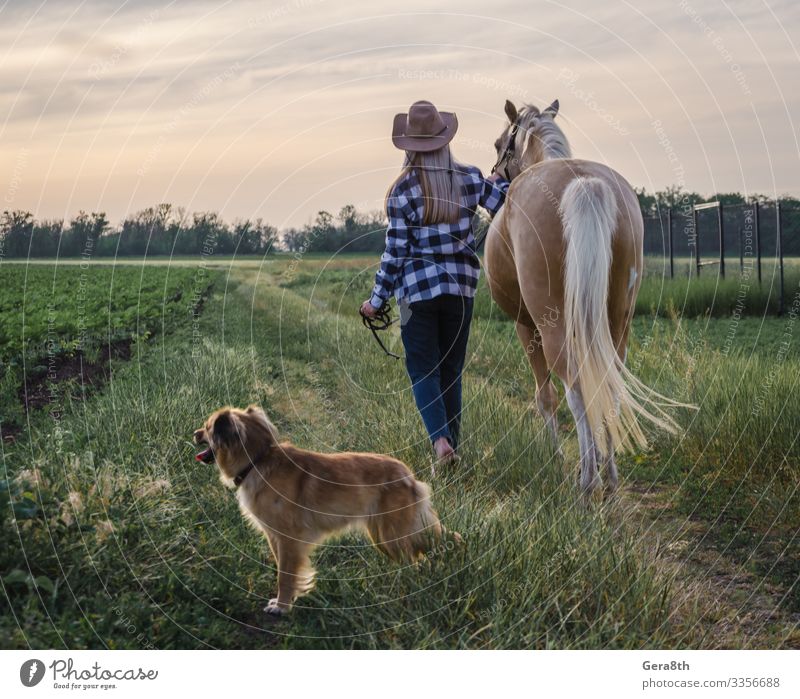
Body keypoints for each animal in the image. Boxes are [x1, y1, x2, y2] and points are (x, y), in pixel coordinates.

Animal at [191, 408, 446, 616]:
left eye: (207, 427)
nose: (194, 433)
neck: (257, 460)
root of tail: (409, 476)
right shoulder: (276, 538)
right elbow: (285, 570)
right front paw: (288, 599)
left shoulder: (288, 540)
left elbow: (285, 575)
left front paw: (282, 607)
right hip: (382, 536)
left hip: (391, 535)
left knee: (413, 562)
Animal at [482, 98, 688, 494]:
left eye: (501, 143)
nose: (494, 179)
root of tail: (583, 183)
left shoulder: (525, 326)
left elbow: (545, 397)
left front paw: (555, 459)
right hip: (617, 320)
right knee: (609, 386)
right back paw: (609, 478)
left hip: (552, 326)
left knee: (575, 390)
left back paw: (587, 482)